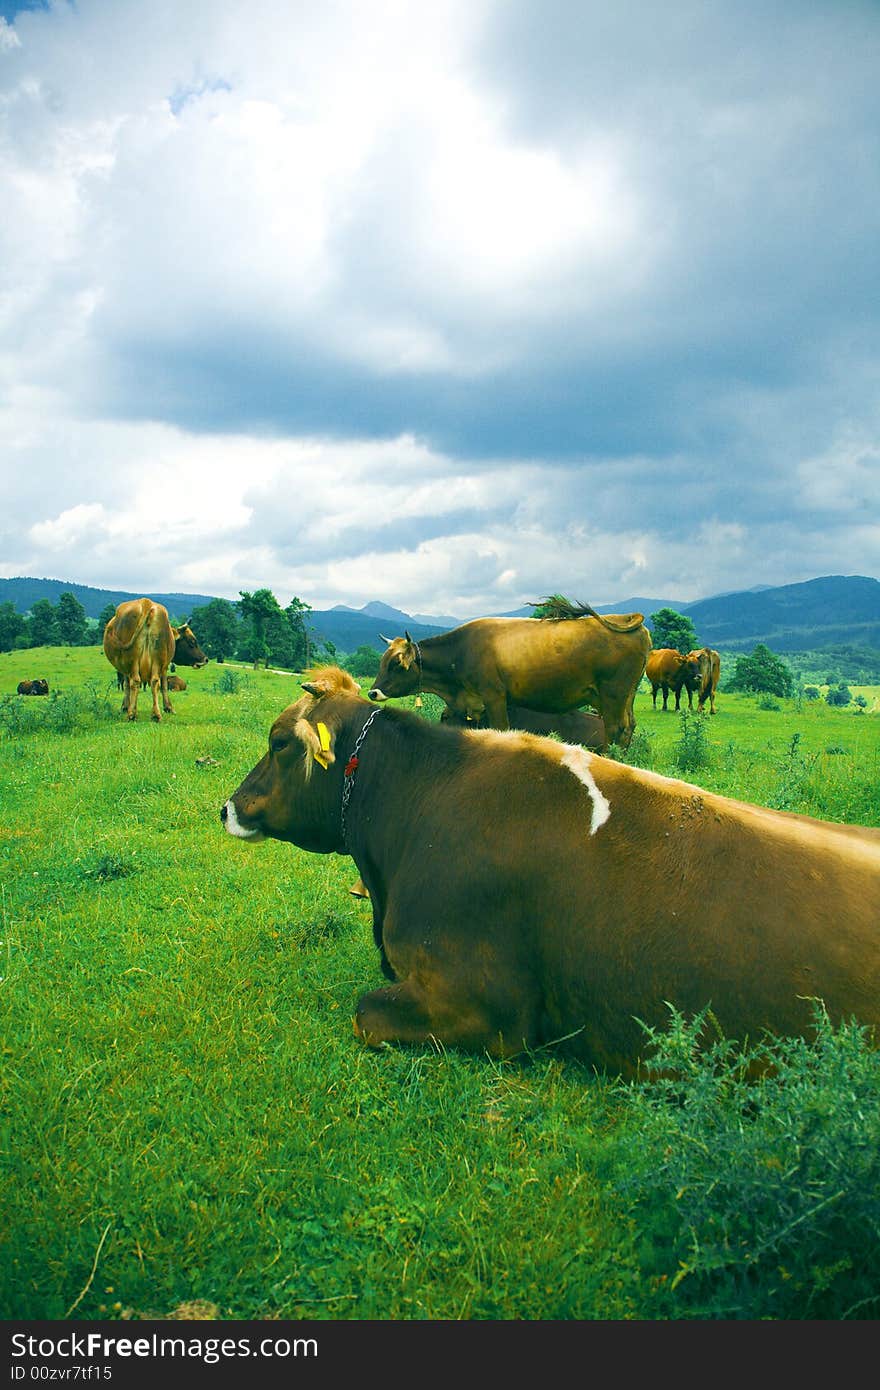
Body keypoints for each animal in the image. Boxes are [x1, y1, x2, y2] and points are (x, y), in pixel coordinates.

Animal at [367, 597, 647, 750]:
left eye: (396, 664)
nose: (373, 692)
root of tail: (626, 619)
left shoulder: (494, 697)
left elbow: (501, 729)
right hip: (623, 697)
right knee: (628, 729)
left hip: (613, 695)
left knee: (616, 730)